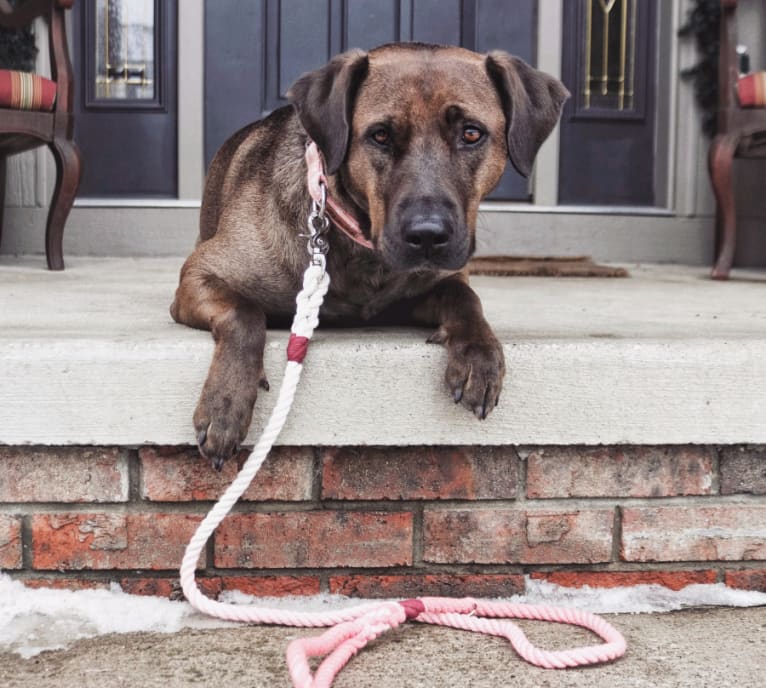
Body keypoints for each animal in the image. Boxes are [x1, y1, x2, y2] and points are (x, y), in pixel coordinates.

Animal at [174, 43, 568, 468]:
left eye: (471, 133)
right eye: (380, 135)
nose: (427, 235)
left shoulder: (430, 288)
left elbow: (464, 296)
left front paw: (479, 355)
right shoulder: (199, 273)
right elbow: (245, 313)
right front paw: (225, 403)